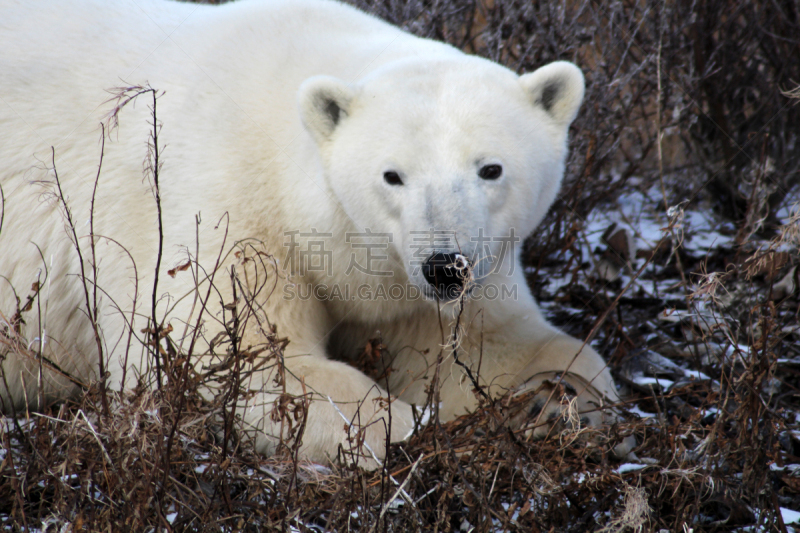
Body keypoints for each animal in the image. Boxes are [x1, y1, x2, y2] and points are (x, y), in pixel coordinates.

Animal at [1, 0, 632, 464]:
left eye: (491, 168)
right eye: (393, 175)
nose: (444, 267)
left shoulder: (435, 279)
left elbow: (484, 346)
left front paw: (551, 402)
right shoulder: (223, 209)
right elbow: (222, 360)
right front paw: (401, 424)